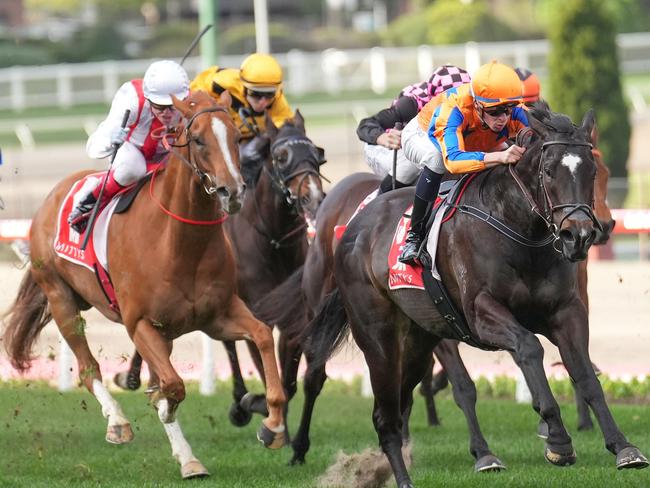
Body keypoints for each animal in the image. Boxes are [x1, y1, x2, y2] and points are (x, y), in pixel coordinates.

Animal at [2, 89, 284, 478]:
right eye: (198, 139)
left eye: (234, 136)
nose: (234, 192)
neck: (179, 242)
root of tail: (52, 195)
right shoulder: (139, 324)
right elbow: (173, 386)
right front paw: (161, 407)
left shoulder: (218, 315)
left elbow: (262, 335)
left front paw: (272, 425)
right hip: (61, 299)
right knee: (88, 368)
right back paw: (118, 423)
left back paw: (187, 455)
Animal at [302, 105, 644, 486]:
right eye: (549, 170)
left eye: (592, 171)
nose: (580, 235)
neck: (519, 230)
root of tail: (353, 227)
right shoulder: (480, 314)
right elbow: (527, 349)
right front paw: (555, 437)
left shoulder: (566, 311)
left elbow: (585, 374)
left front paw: (623, 446)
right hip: (378, 338)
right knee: (382, 413)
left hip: (417, 341)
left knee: (399, 403)